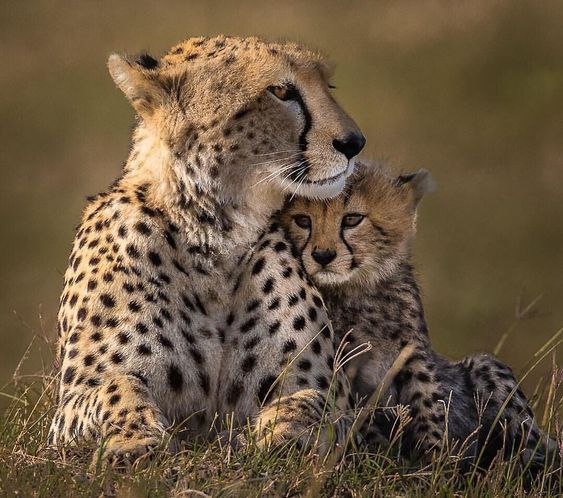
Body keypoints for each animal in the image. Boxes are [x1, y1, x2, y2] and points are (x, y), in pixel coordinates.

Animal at [49, 34, 366, 460]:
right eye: (282, 91)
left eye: (327, 85)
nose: (354, 143)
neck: (216, 231)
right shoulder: (69, 405)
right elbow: (117, 387)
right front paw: (135, 438)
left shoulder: (340, 404)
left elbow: (311, 401)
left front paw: (280, 435)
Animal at [280, 162, 560, 470]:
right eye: (303, 221)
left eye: (352, 219)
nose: (323, 255)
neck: (357, 290)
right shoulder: (341, 363)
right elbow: (360, 413)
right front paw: (382, 458)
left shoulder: (412, 351)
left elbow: (427, 400)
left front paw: (435, 461)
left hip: (485, 368)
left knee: (534, 446)